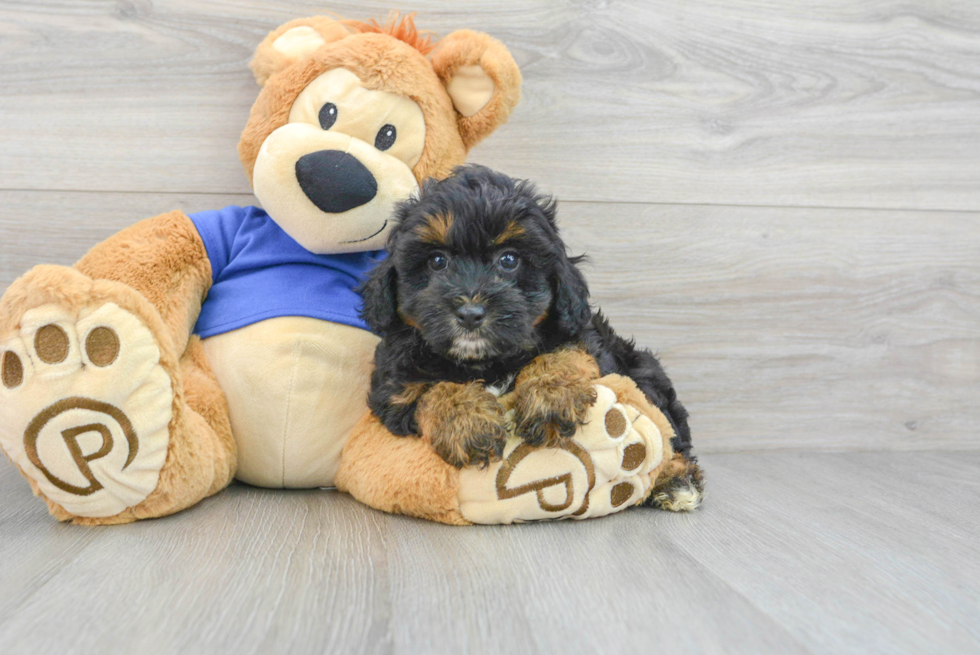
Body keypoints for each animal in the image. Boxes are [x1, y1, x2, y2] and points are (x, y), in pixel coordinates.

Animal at [360, 164, 704, 512]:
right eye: (437, 261)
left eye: (509, 260)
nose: (470, 313)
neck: (485, 361)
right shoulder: (394, 387)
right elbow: (431, 389)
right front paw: (468, 420)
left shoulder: (584, 337)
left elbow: (566, 353)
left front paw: (549, 396)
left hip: (644, 370)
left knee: (670, 433)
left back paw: (676, 480)